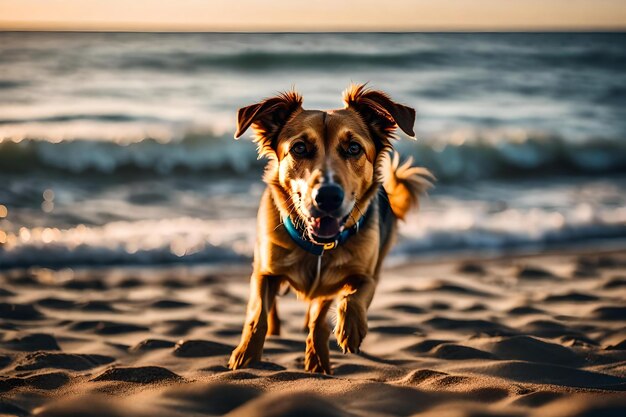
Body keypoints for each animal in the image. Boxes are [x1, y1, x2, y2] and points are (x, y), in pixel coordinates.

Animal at [228, 83, 428, 372]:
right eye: (299, 148)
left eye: (354, 148)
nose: (328, 196)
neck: (319, 247)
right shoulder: (264, 272)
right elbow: (258, 314)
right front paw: (246, 355)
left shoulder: (365, 275)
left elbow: (347, 300)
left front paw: (346, 331)